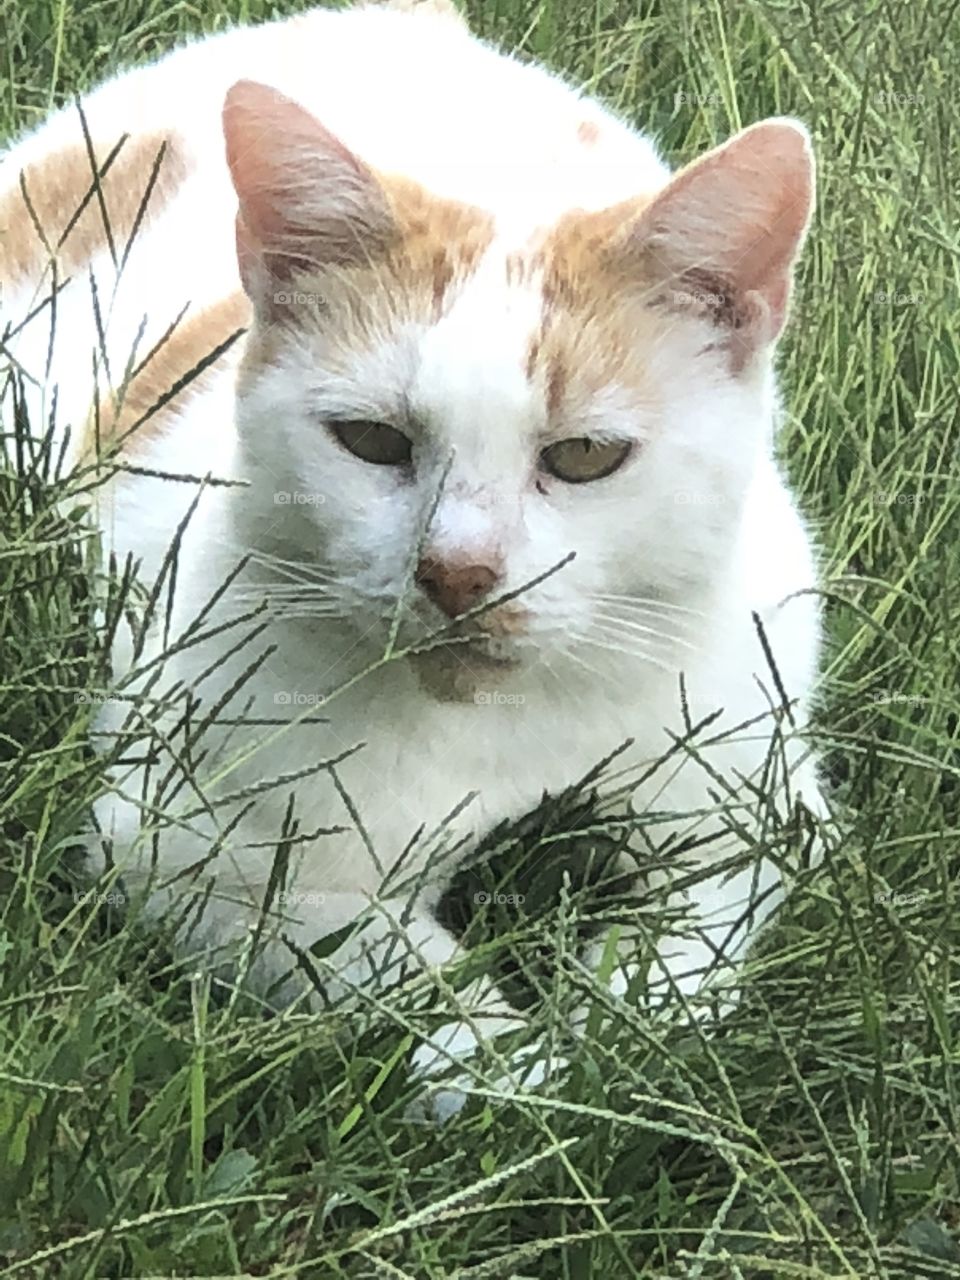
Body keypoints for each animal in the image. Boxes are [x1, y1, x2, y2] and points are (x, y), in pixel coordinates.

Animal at [0, 0, 829, 1100]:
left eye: (586, 455)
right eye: (372, 441)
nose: (458, 572)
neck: (506, 724)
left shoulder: (764, 806)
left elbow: (686, 956)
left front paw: (618, 1048)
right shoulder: (174, 844)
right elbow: (396, 969)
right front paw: (527, 1076)